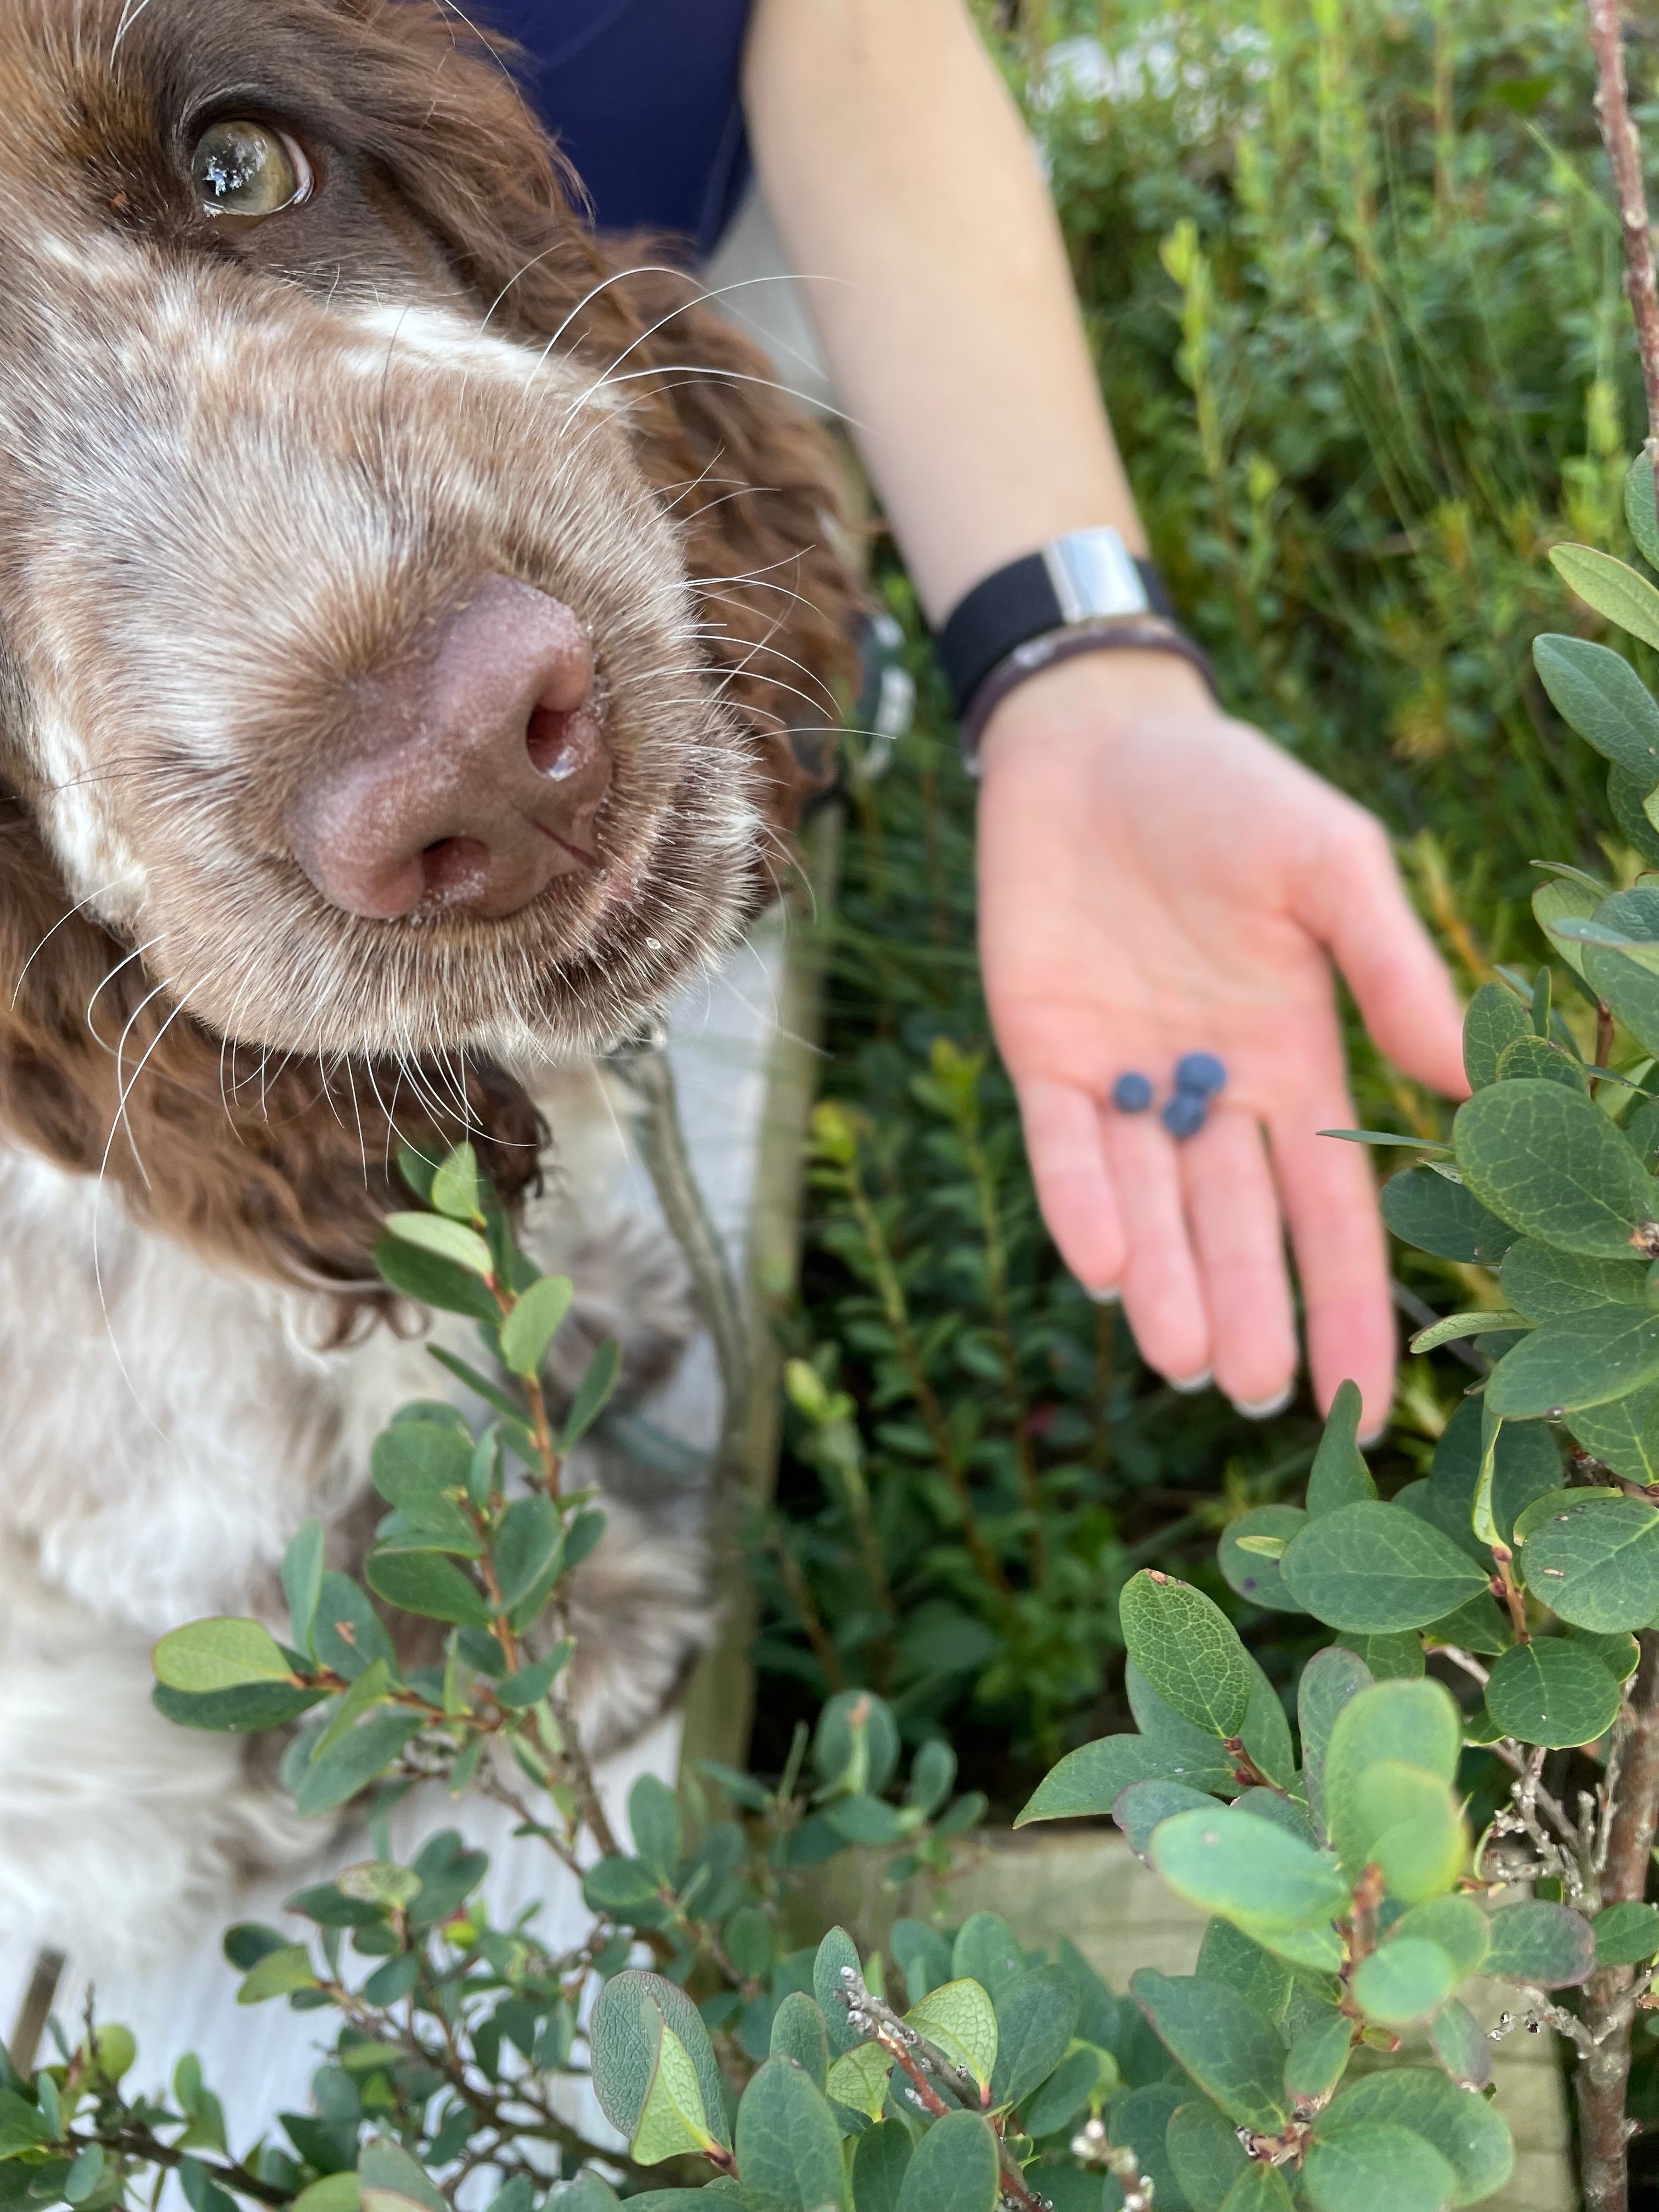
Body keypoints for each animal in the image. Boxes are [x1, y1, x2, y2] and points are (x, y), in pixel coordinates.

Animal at [0, 0, 858, 1973]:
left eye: (239, 162)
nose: (467, 761)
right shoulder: (118, 1449)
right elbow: (313, 1516)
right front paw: (576, 1643)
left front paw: (581, 1308)